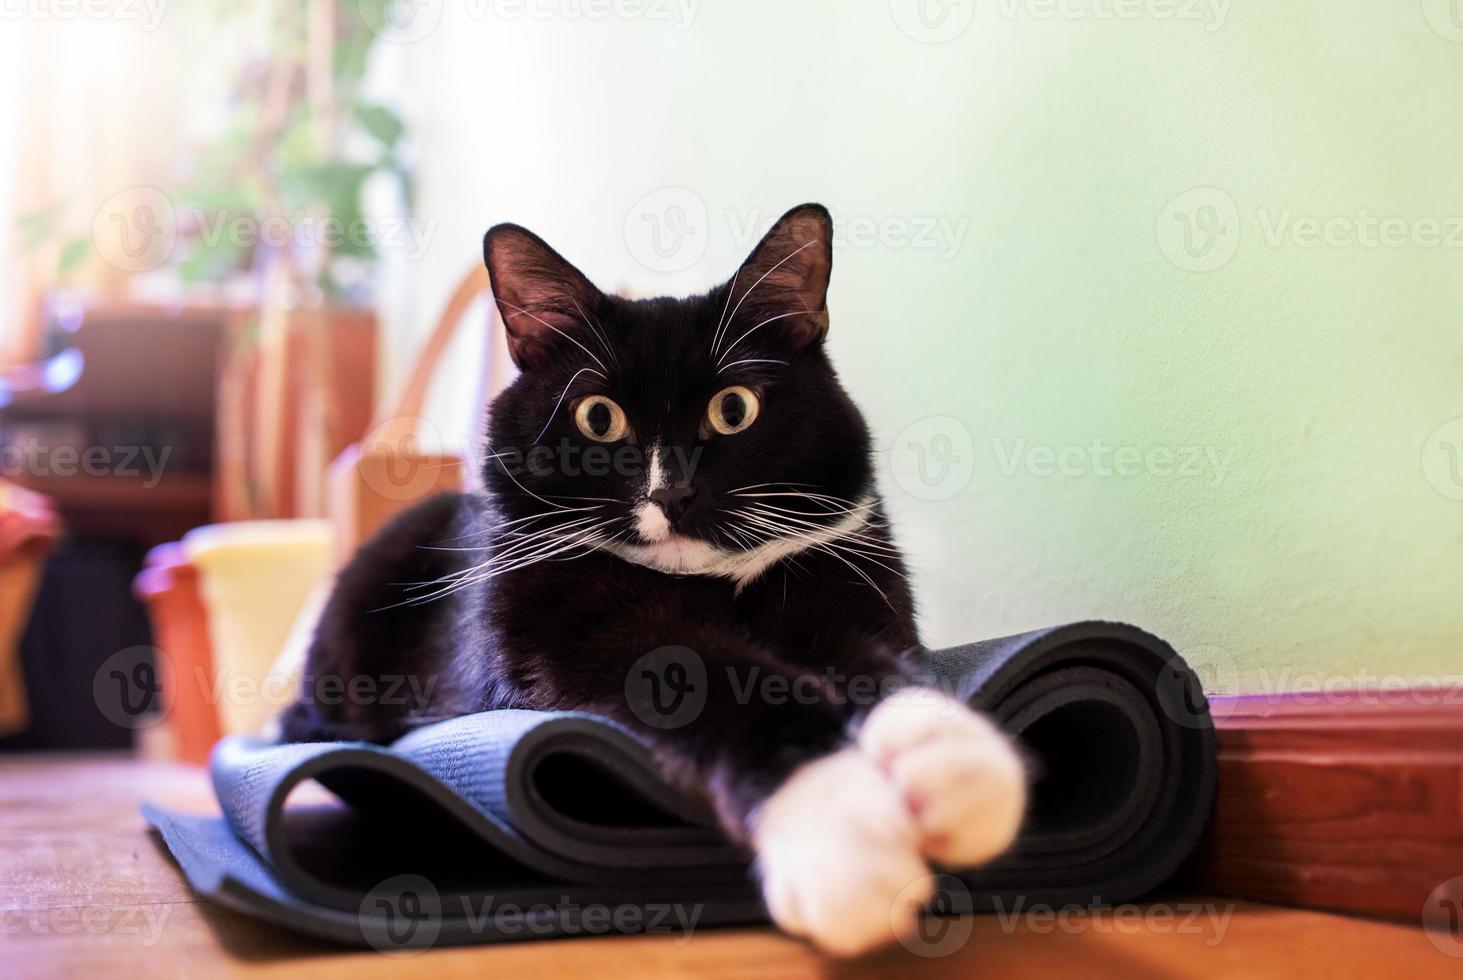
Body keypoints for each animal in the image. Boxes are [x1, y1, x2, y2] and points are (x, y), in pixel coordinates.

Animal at [279, 204, 1024, 959]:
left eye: (734, 408)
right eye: (597, 417)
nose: (673, 494)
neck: (709, 583)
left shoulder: (838, 578)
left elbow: (877, 660)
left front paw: (955, 763)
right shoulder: (578, 632)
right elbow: (724, 685)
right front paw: (840, 833)